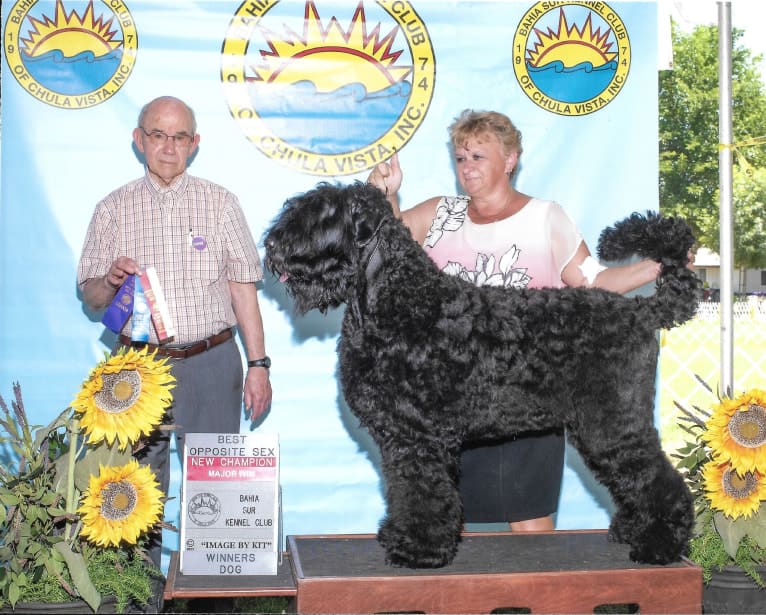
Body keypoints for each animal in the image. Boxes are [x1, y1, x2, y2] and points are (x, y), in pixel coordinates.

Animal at [268, 180, 704, 572]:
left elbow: (424, 491)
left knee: (656, 479)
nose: (273, 245)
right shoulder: (399, 437)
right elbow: (402, 489)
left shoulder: (419, 436)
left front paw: (420, 550)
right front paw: (398, 535)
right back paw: (632, 530)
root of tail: (641, 311)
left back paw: (661, 544)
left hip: (612, 423)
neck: (395, 300)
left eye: (326, 214)